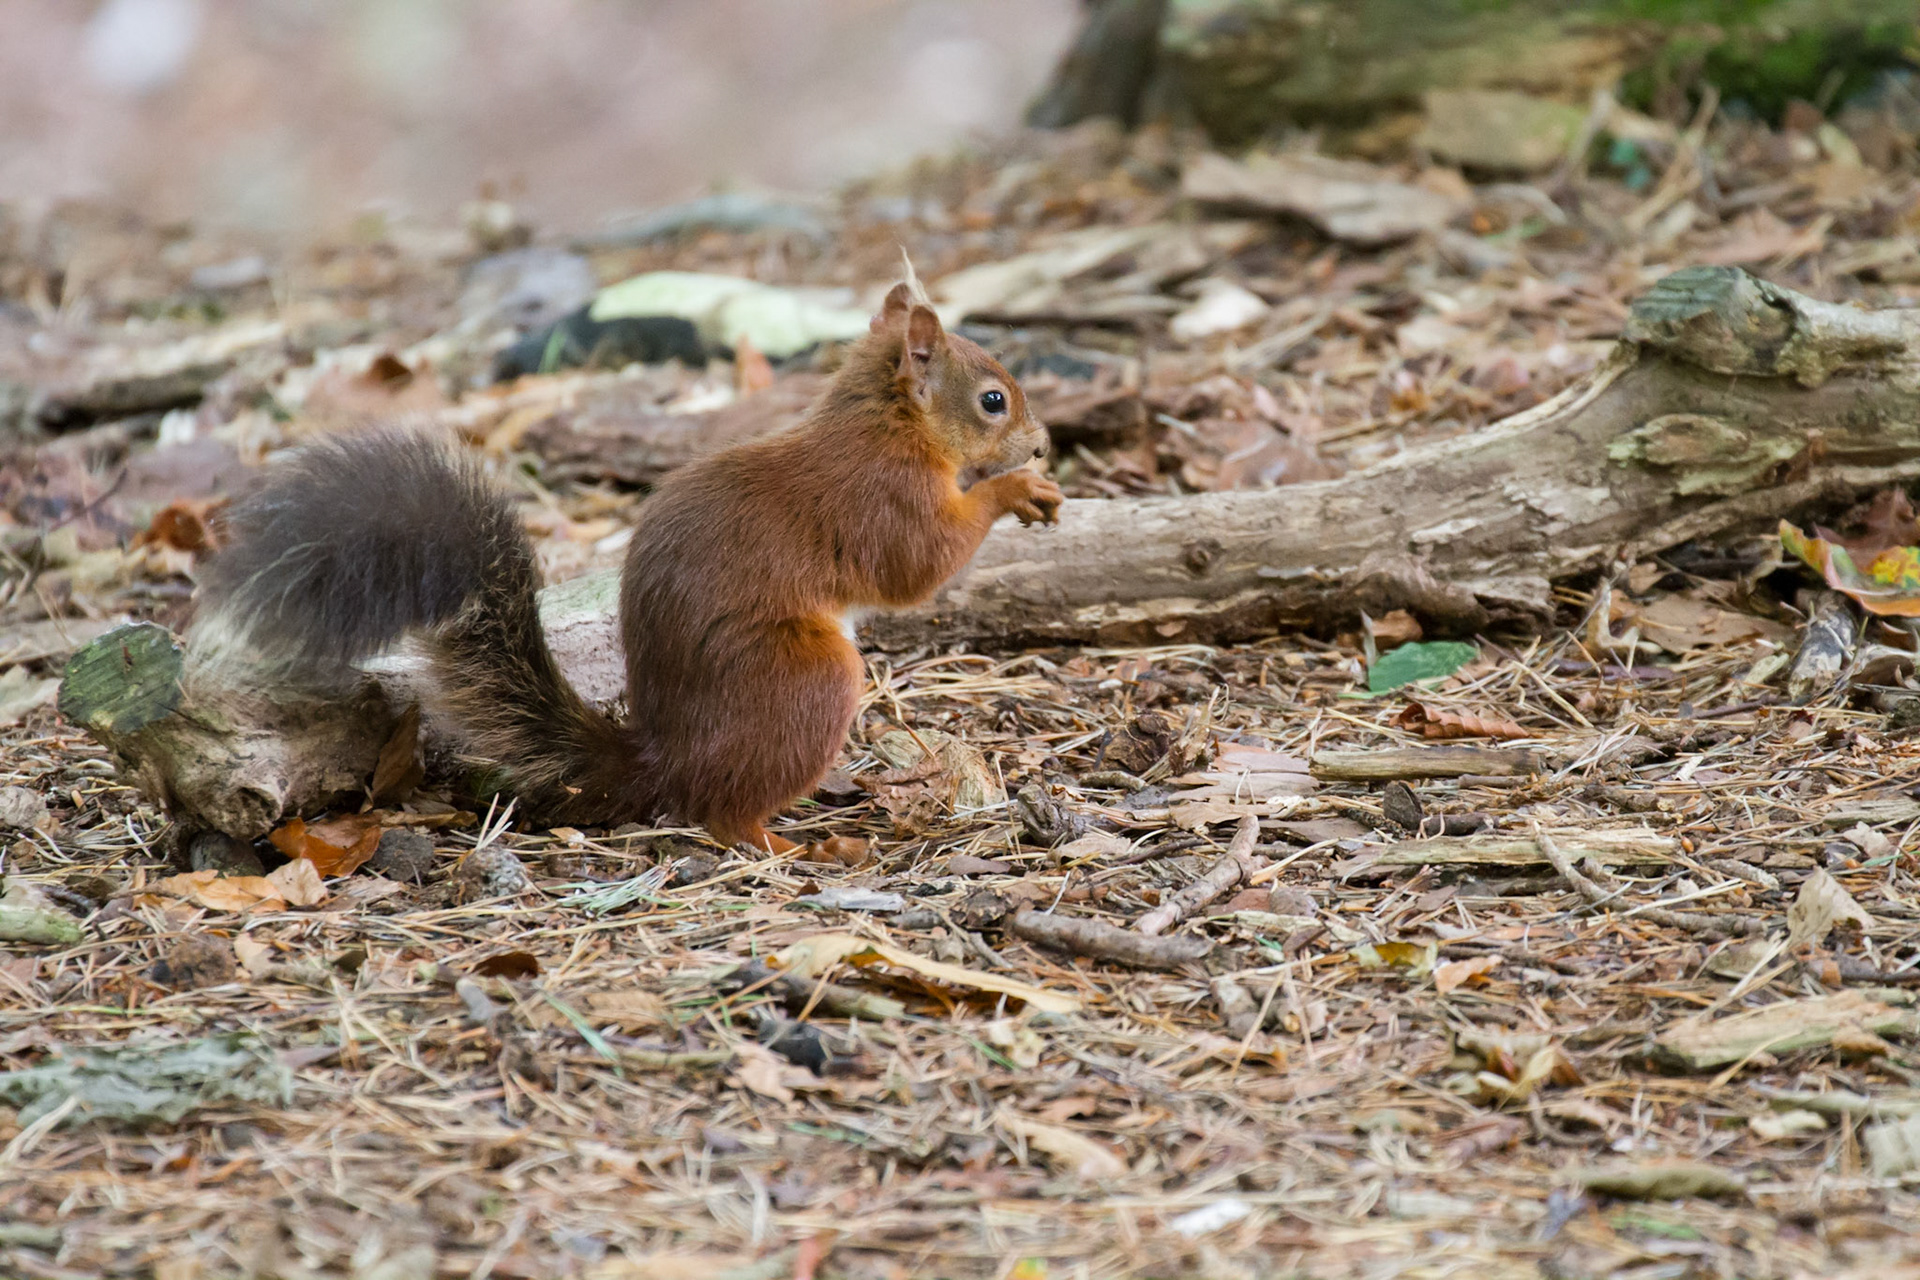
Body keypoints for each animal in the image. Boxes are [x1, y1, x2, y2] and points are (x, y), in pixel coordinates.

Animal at [193, 279, 1062, 853]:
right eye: (992, 401)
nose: (1044, 441)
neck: (887, 425)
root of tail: (664, 759)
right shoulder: (884, 500)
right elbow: (918, 568)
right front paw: (1014, 489)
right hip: (805, 679)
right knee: (723, 812)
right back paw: (787, 843)